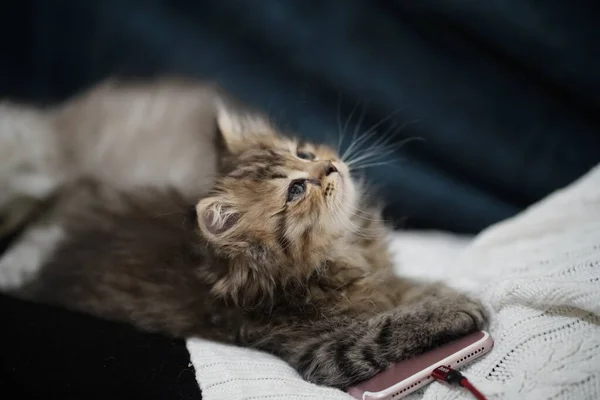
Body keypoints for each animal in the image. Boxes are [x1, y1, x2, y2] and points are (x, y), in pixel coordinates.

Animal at [3, 101, 488, 390]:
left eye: (304, 154)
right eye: (295, 190)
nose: (331, 165)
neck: (342, 248)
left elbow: (402, 288)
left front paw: (439, 292)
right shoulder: (322, 349)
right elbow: (386, 327)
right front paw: (457, 309)